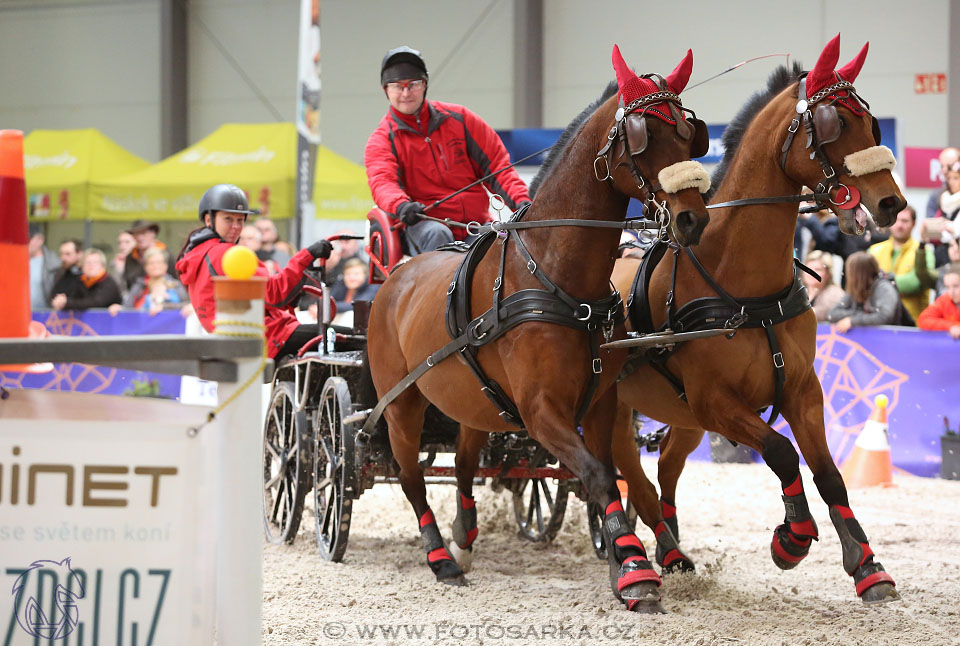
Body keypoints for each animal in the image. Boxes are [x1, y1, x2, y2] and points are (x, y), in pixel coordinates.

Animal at [368, 48, 712, 616]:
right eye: (642, 137)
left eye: (689, 134)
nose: (692, 220)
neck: (558, 279)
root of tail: (395, 277)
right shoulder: (541, 411)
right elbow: (598, 475)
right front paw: (636, 572)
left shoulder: (599, 403)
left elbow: (603, 477)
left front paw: (623, 560)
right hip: (401, 404)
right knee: (411, 477)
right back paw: (440, 558)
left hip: (474, 399)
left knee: (465, 462)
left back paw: (463, 537)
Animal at [608, 33, 908, 604]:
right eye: (834, 124)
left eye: (872, 124)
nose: (892, 204)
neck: (743, 283)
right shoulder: (716, 401)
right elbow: (782, 452)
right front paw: (793, 538)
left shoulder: (802, 391)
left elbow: (829, 474)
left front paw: (867, 565)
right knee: (629, 474)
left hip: (680, 416)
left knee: (663, 467)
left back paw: (670, 549)